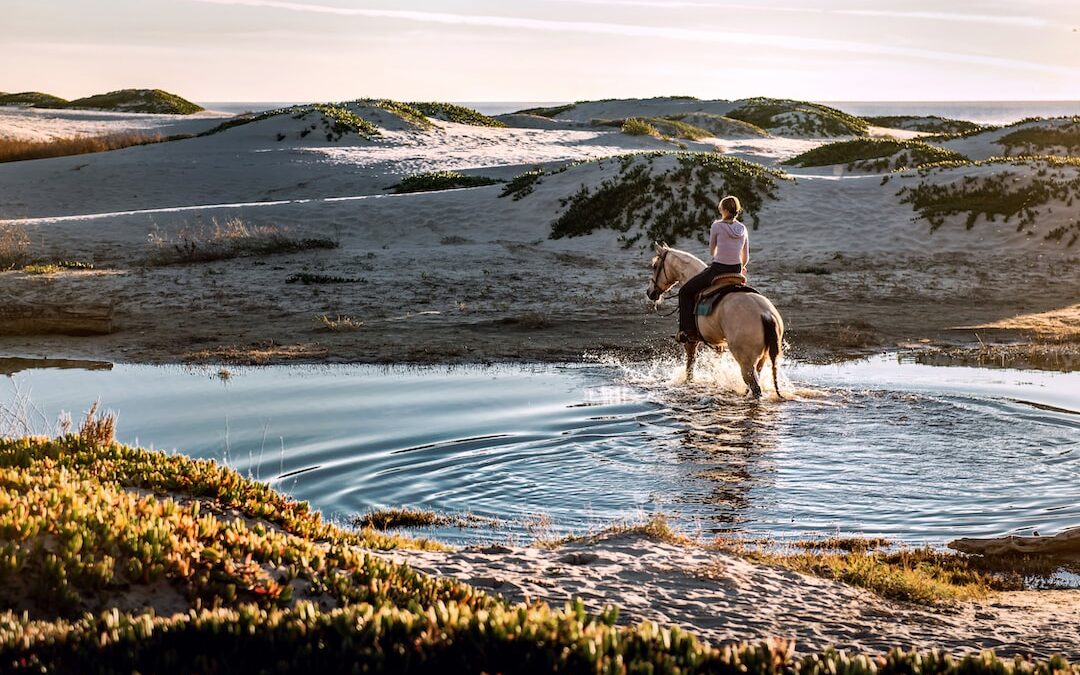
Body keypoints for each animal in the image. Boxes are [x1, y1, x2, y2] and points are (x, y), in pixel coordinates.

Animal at [639, 241, 786, 397]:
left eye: (655, 266)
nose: (649, 292)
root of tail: (766, 314)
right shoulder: (718, 344)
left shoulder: (691, 341)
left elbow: (690, 367)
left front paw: (688, 384)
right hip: (762, 359)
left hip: (745, 362)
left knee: (755, 388)